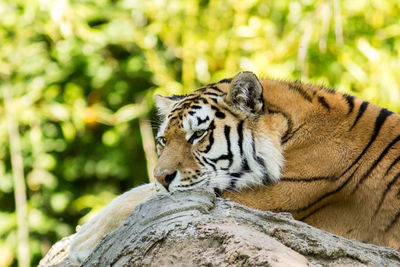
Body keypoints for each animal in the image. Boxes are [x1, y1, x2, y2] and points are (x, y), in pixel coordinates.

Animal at [68, 71, 396, 266]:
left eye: (197, 135)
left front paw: (82, 241)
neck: (288, 131)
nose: (161, 177)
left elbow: (144, 197)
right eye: (162, 141)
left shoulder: (263, 197)